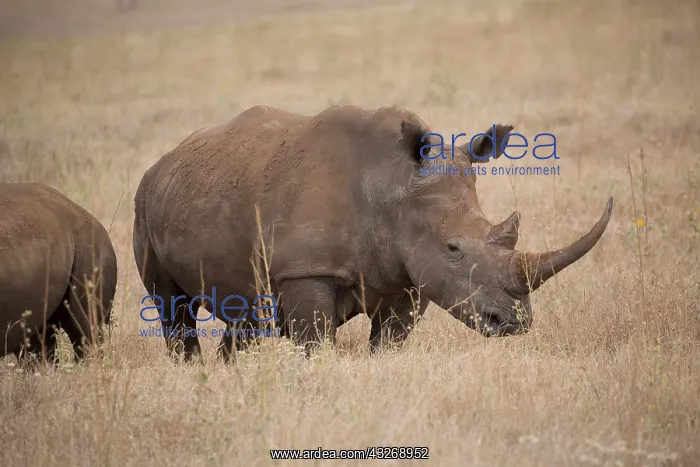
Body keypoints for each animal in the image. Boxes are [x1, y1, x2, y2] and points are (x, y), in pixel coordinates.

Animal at [133, 104, 613, 362]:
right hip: (145, 201)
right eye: (453, 248)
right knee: (172, 305)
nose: (514, 322)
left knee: (244, 312)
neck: (392, 190)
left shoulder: (410, 274)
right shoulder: (306, 269)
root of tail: (164, 161)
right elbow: (315, 341)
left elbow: (389, 342)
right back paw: (190, 369)